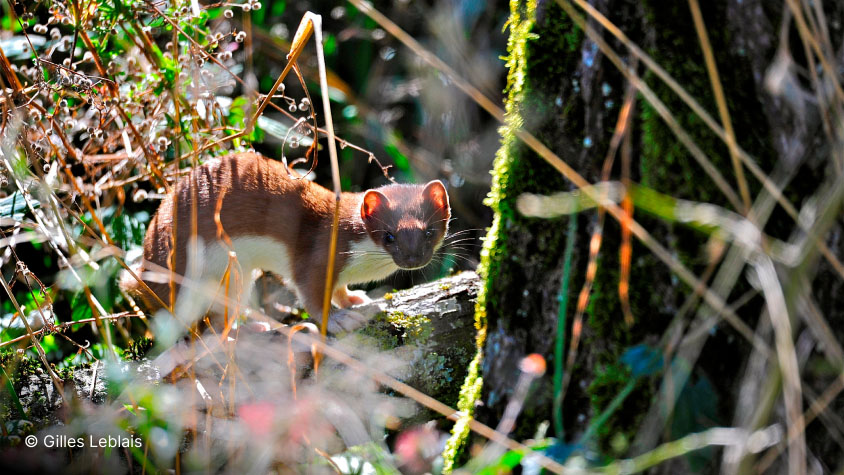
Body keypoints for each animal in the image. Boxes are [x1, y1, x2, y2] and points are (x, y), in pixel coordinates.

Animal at [119, 154, 452, 332]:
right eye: (389, 236)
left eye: (429, 231)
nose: (413, 258)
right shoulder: (317, 254)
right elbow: (311, 294)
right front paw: (339, 319)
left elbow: (338, 289)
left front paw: (355, 299)